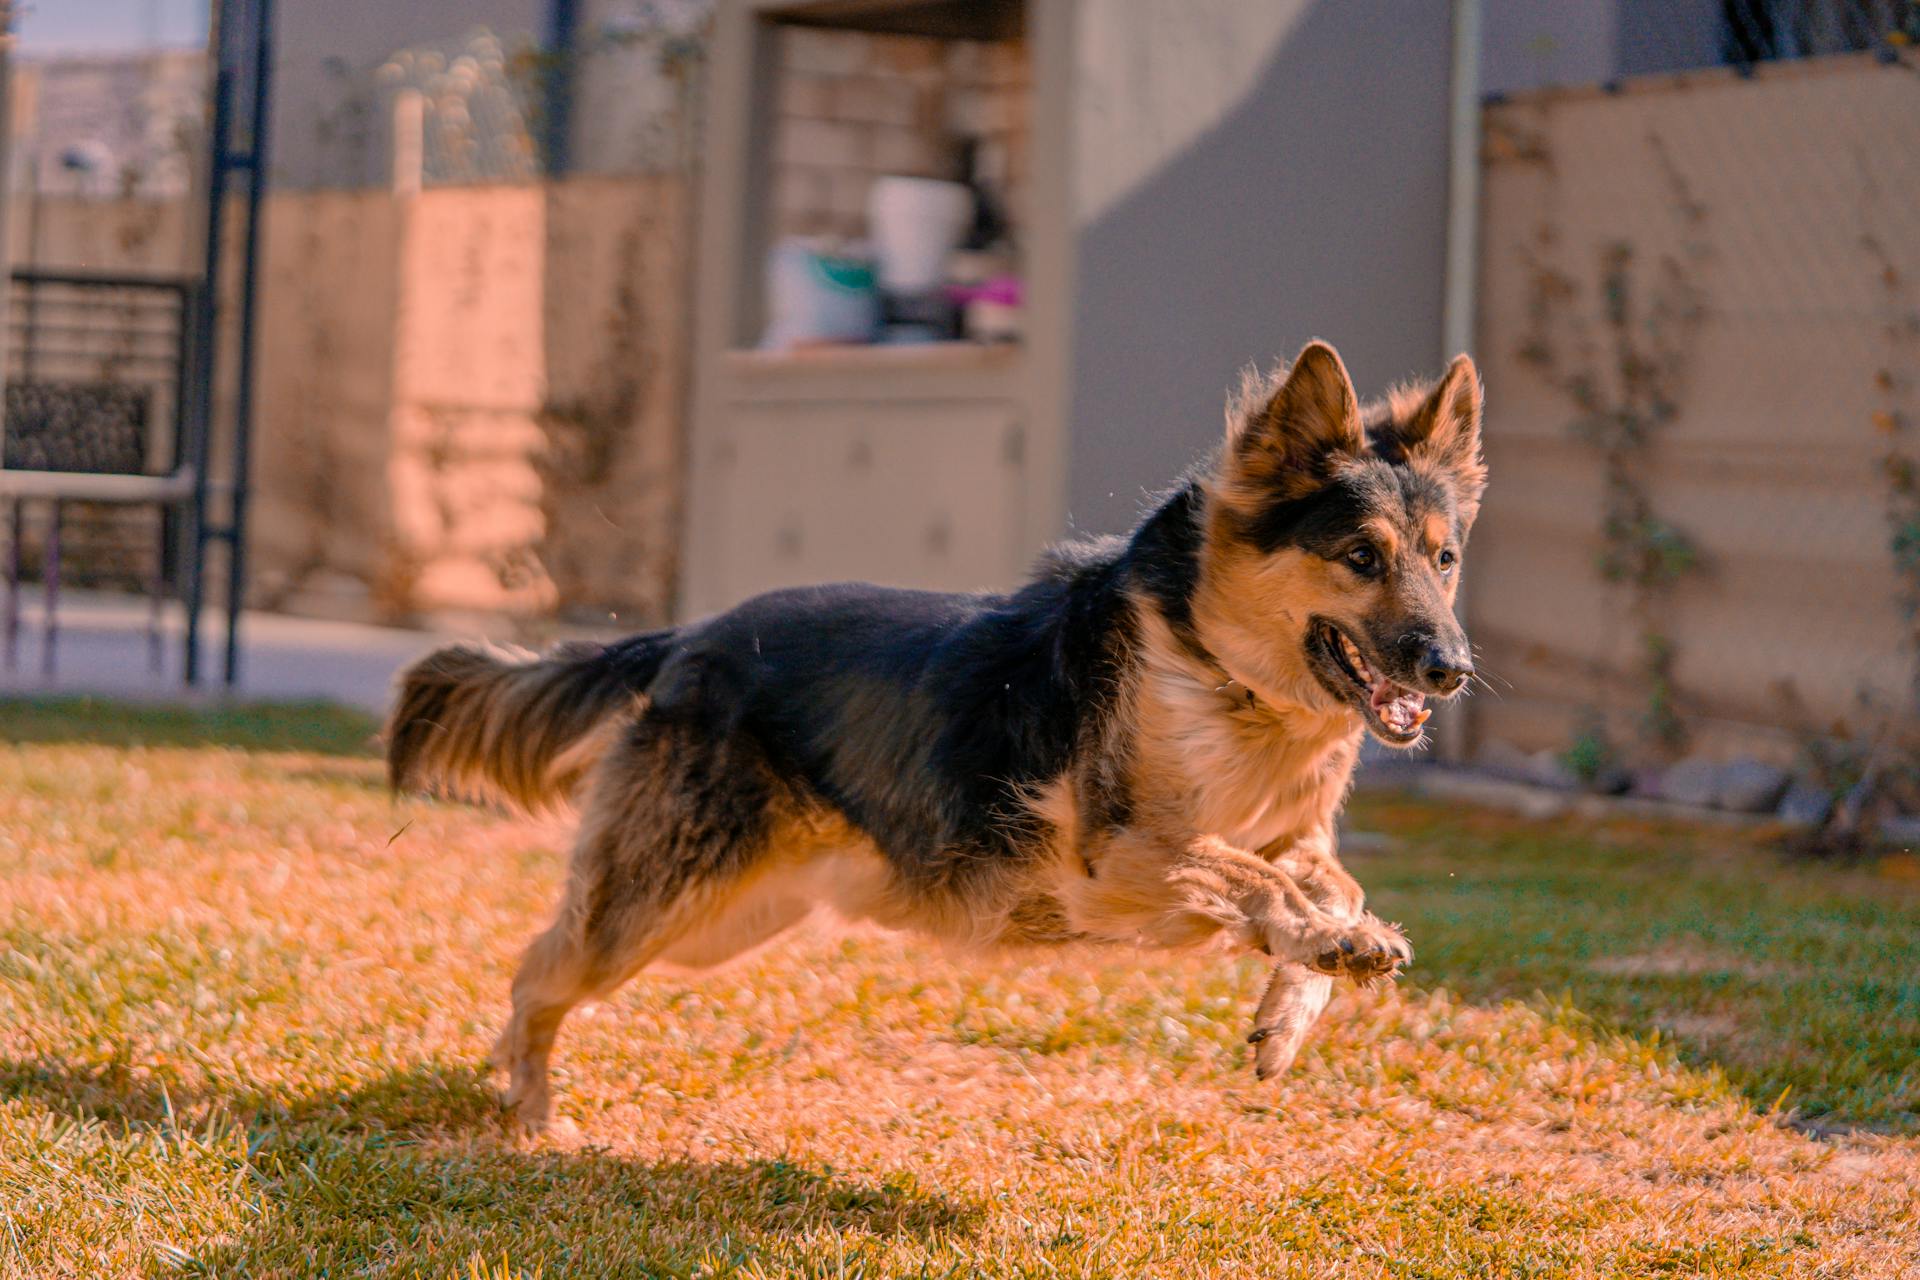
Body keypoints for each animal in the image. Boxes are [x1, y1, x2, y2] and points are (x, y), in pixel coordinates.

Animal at [385, 343, 1482, 1128]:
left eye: (1444, 558)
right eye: (1359, 556)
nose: (1453, 669)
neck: (1223, 673)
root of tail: (693, 637)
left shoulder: (1291, 835)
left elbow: (1328, 880)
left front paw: (1298, 1001)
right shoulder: (1119, 857)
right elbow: (1252, 875)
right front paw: (1324, 942)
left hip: (718, 923)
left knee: (544, 950)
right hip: (659, 904)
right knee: (541, 968)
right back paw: (531, 1111)